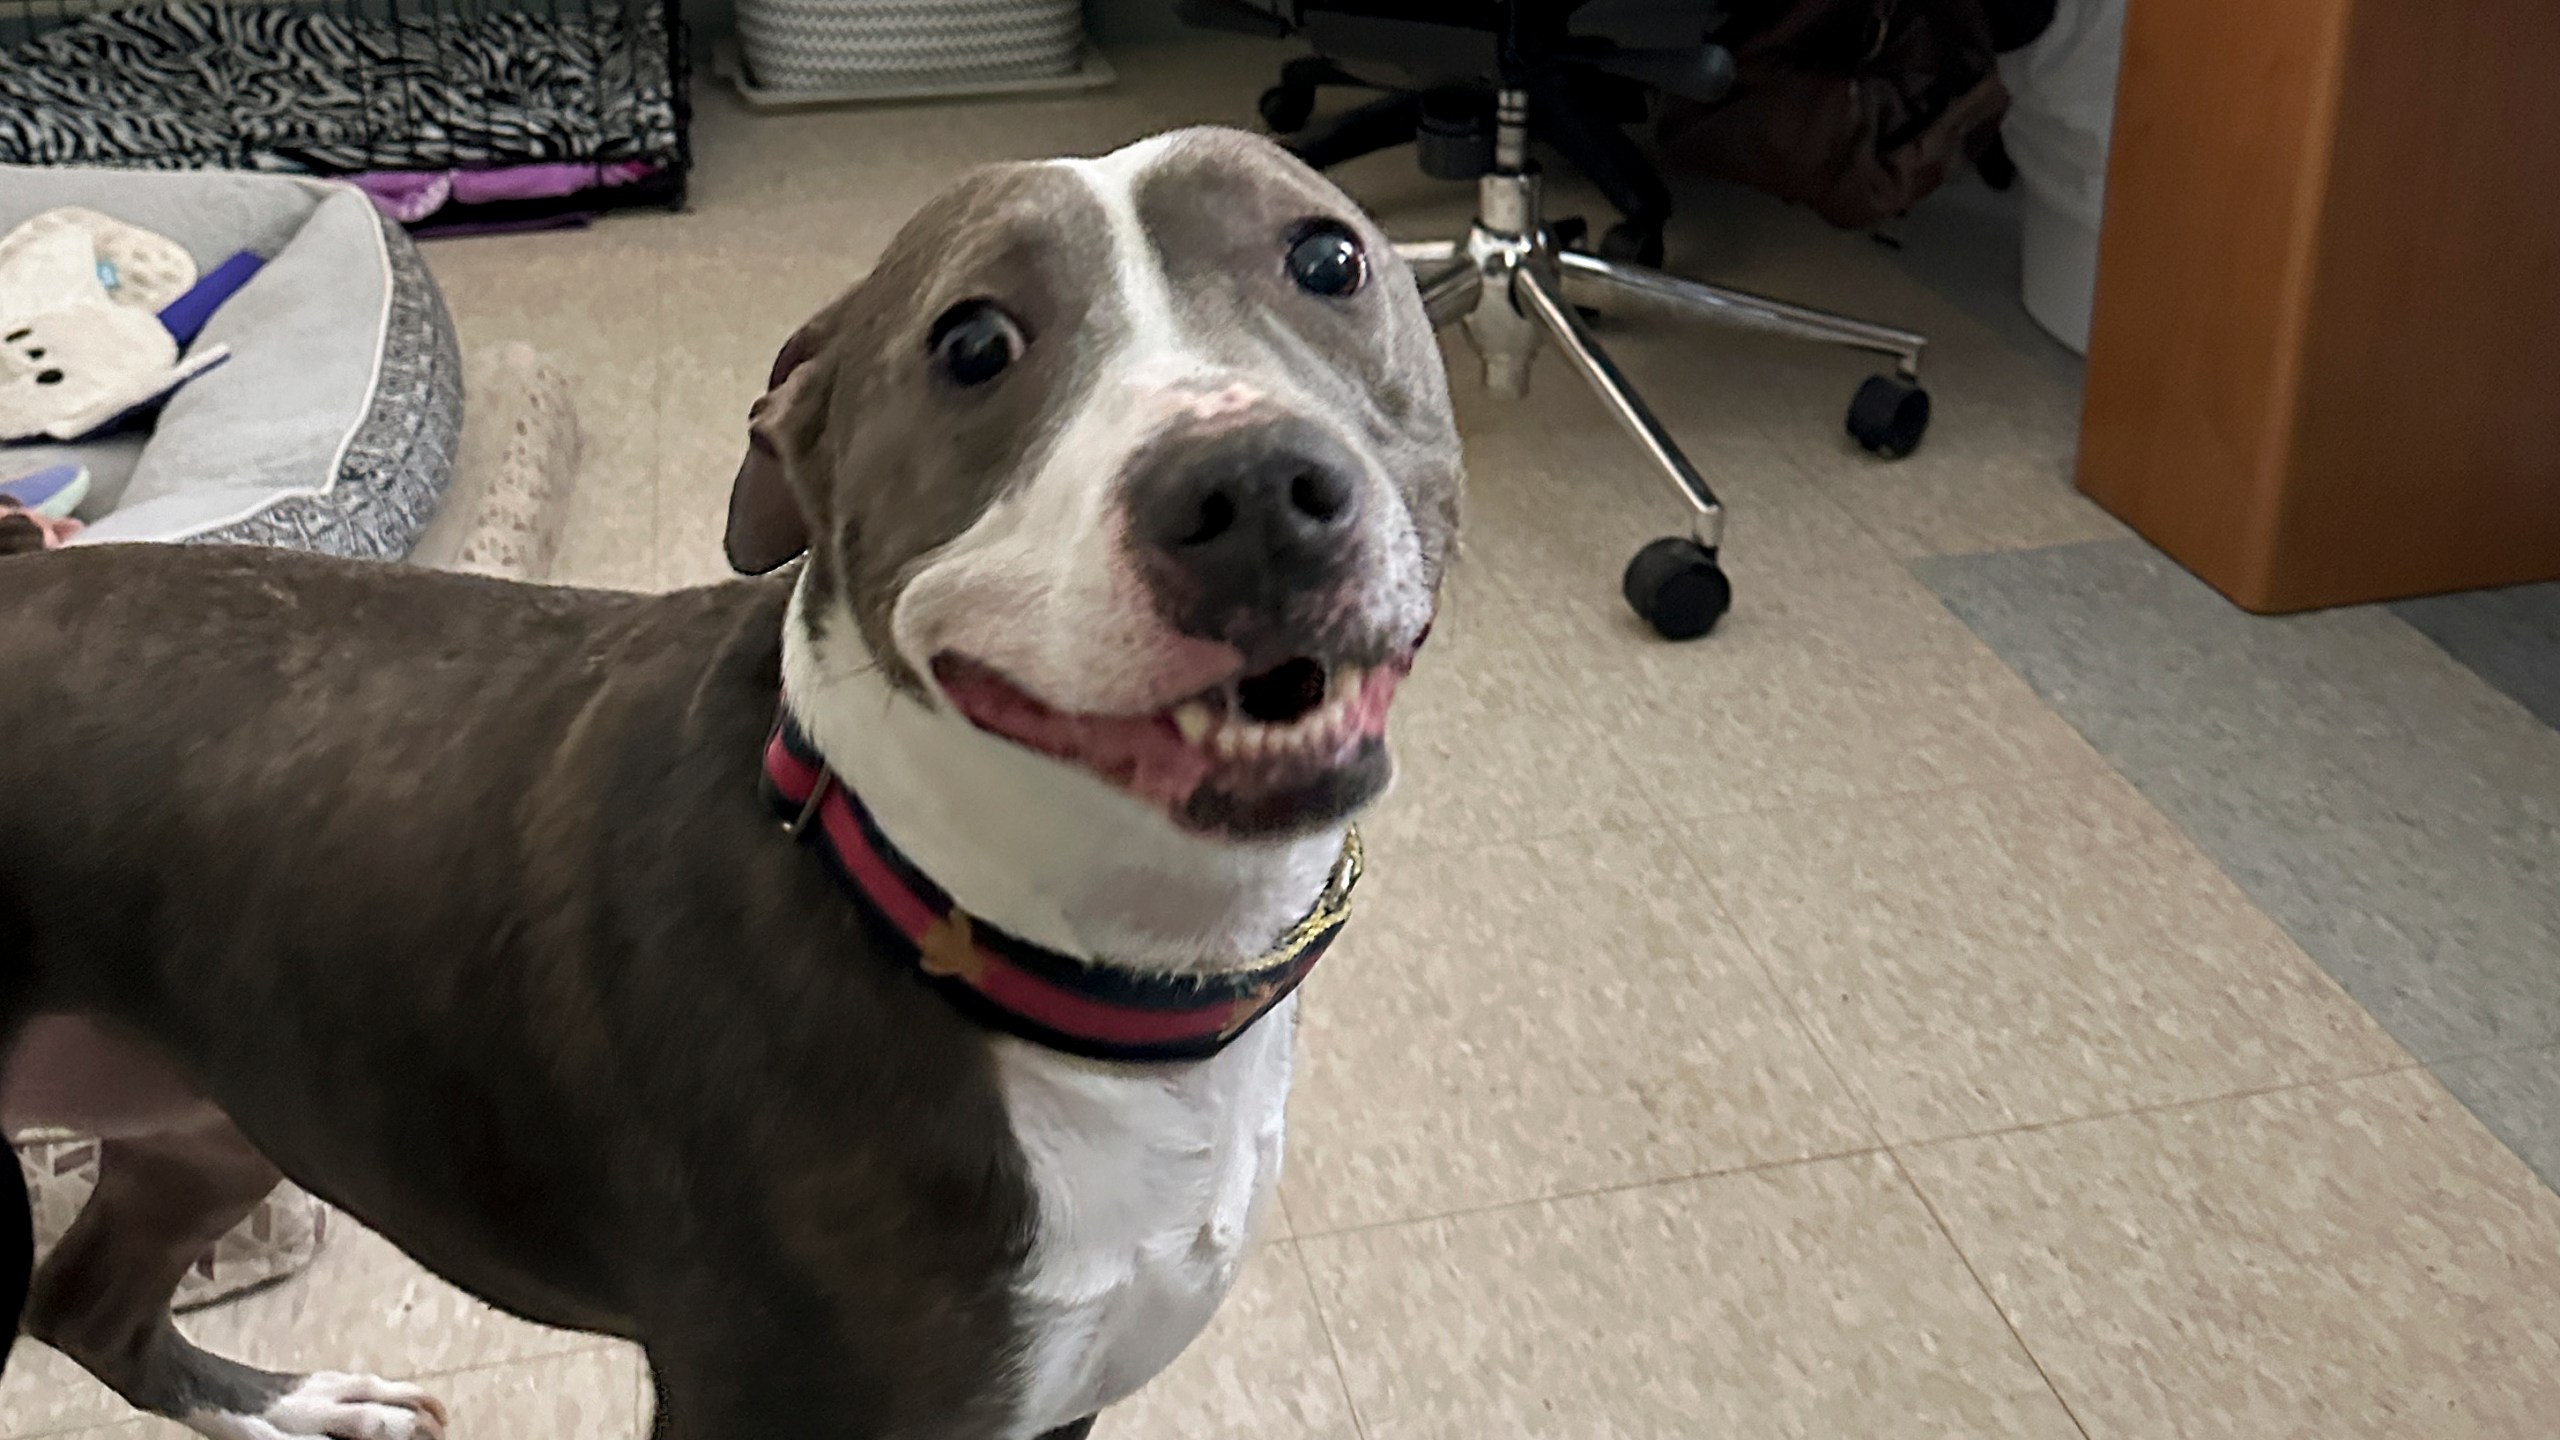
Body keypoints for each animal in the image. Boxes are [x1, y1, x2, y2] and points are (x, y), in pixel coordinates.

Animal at [0, 126, 1464, 1434]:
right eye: (972, 344)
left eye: (1328, 257)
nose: (1253, 486)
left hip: (215, 1114)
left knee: (90, 1305)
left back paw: (304, 1408)